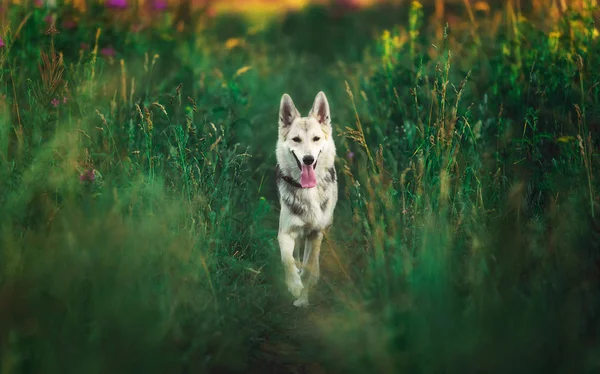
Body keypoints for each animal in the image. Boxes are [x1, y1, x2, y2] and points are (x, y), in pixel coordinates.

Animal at [276, 90, 338, 306]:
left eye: (316, 138)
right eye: (296, 139)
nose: (308, 159)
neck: (307, 190)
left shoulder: (315, 234)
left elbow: (308, 269)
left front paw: (302, 300)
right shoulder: (285, 233)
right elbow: (287, 260)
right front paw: (294, 285)